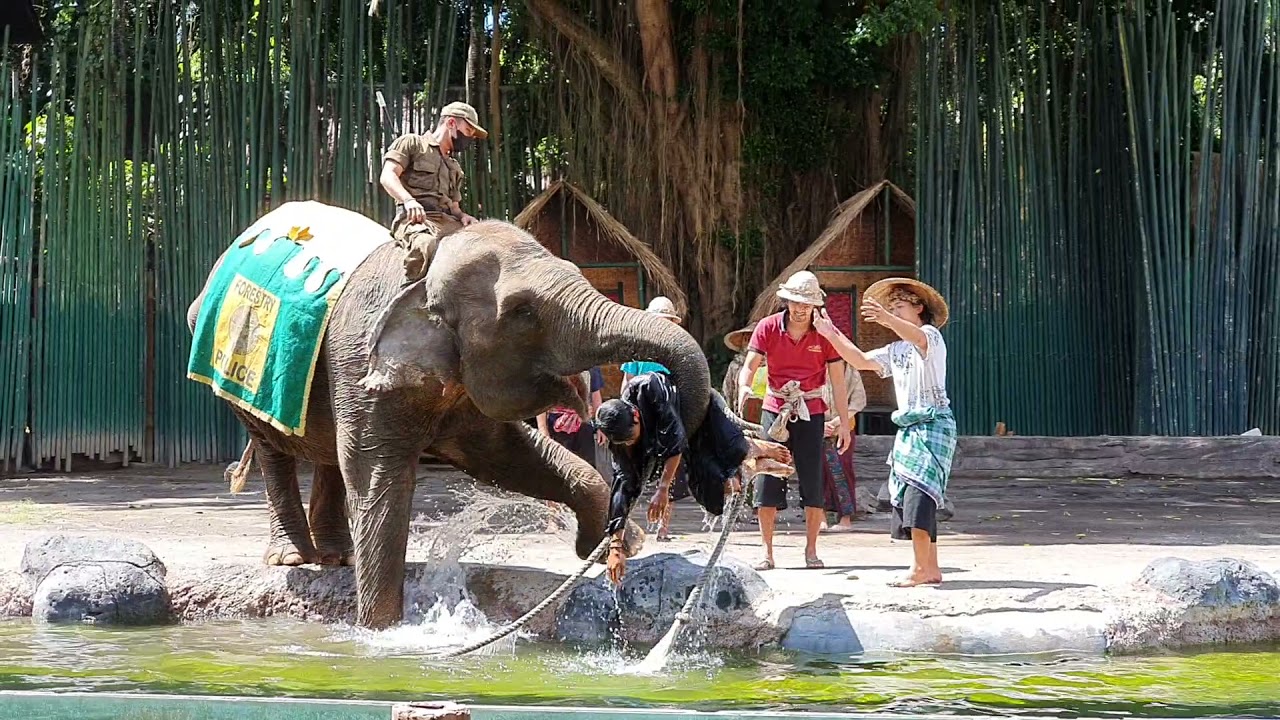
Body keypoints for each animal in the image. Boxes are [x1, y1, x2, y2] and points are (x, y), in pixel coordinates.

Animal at [186, 205, 712, 629]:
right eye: (523, 312)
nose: (629, 413)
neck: (427, 272)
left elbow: (507, 454)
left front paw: (618, 546)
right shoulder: (361, 366)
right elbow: (379, 481)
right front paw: (378, 635)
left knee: (327, 451)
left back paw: (337, 556)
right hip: (232, 363)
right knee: (272, 445)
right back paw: (295, 558)